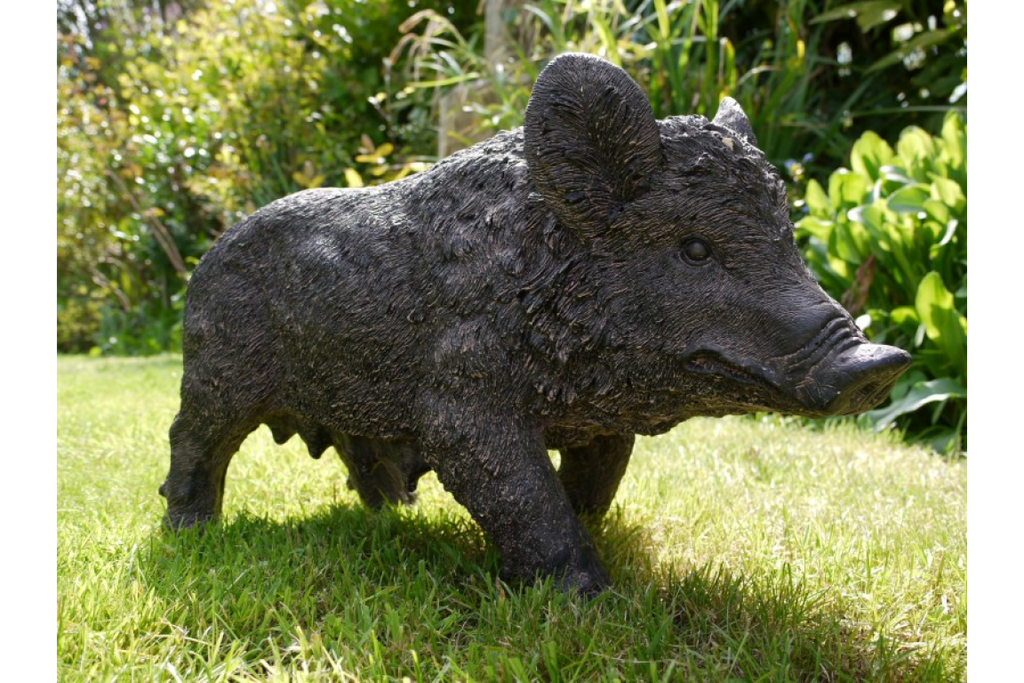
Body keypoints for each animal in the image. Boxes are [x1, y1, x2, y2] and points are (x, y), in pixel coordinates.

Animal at [160, 53, 911, 594]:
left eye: (787, 234)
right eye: (695, 247)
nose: (877, 363)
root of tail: (206, 257)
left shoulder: (603, 422)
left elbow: (593, 485)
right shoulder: (461, 398)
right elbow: (523, 493)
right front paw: (587, 600)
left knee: (359, 454)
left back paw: (394, 513)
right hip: (214, 370)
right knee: (193, 439)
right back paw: (188, 535)